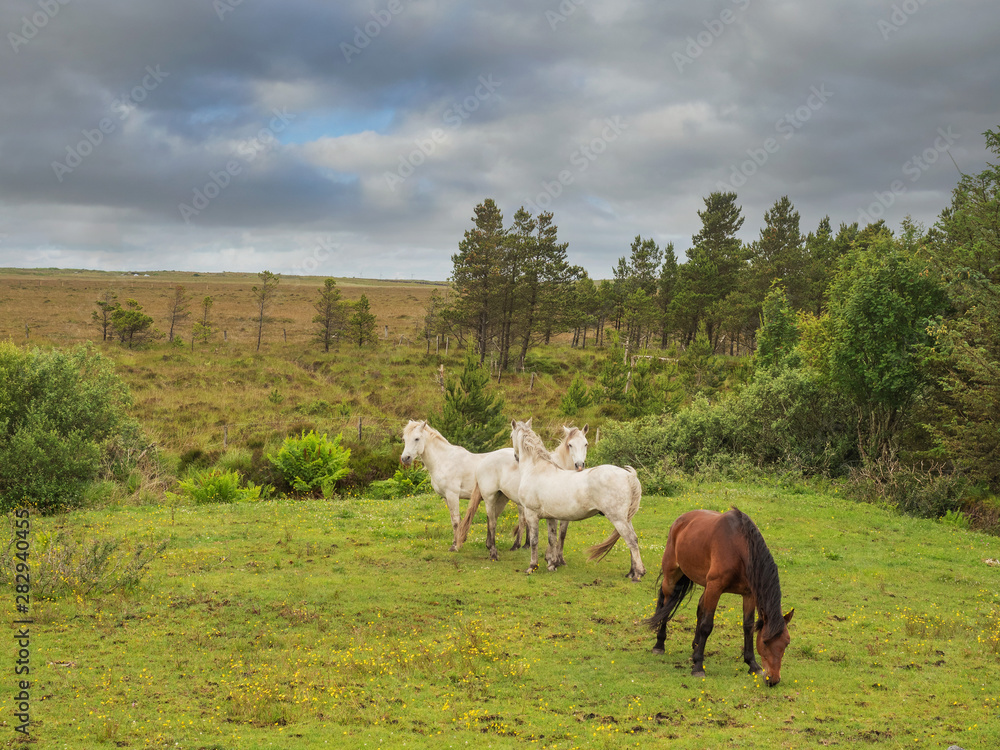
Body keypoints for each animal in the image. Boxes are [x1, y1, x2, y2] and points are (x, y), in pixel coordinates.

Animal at [399, 420, 508, 552]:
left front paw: (455, 546)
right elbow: (453, 520)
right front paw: (457, 542)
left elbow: (456, 521)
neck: (444, 461)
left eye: (417, 439)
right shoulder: (446, 498)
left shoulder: (452, 496)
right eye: (404, 439)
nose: (405, 458)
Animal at [457, 421, 589, 564]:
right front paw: (549, 557)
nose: (579, 465)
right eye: (570, 445)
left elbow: (562, 534)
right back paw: (494, 552)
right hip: (489, 497)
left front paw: (559, 559)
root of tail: (485, 459)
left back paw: (489, 545)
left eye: (585, 444)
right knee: (492, 521)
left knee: (492, 517)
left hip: (501, 498)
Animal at [511, 420, 645, 580]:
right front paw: (552, 564)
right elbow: (552, 539)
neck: (536, 468)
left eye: (511, 435)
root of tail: (629, 476)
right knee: (633, 539)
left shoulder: (531, 514)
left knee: (631, 540)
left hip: (618, 519)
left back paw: (638, 574)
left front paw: (532, 566)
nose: (515, 457)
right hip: (626, 519)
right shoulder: (550, 517)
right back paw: (632, 572)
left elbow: (534, 541)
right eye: (570, 445)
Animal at [645, 507, 794, 687]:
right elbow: (707, 625)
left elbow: (748, 626)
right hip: (672, 575)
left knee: (699, 608)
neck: (739, 548)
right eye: (765, 641)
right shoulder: (715, 587)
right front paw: (698, 667)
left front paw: (752, 664)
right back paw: (659, 645)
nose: (773, 679)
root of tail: (680, 520)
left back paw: (695, 646)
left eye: (786, 642)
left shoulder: (748, 594)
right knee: (666, 608)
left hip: (704, 583)